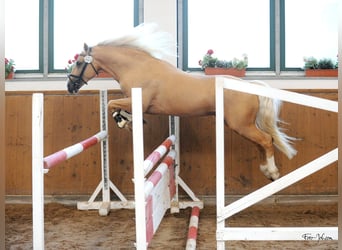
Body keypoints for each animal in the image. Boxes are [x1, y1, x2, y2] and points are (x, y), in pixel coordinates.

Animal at [67, 23, 296, 181]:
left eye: (78, 62)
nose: (70, 87)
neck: (137, 67)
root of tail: (249, 86)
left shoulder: (138, 102)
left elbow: (111, 105)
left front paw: (123, 122)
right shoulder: (134, 102)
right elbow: (115, 106)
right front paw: (127, 120)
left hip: (240, 125)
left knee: (266, 140)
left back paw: (273, 172)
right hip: (242, 125)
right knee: (262, 142)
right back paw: (266, 170)